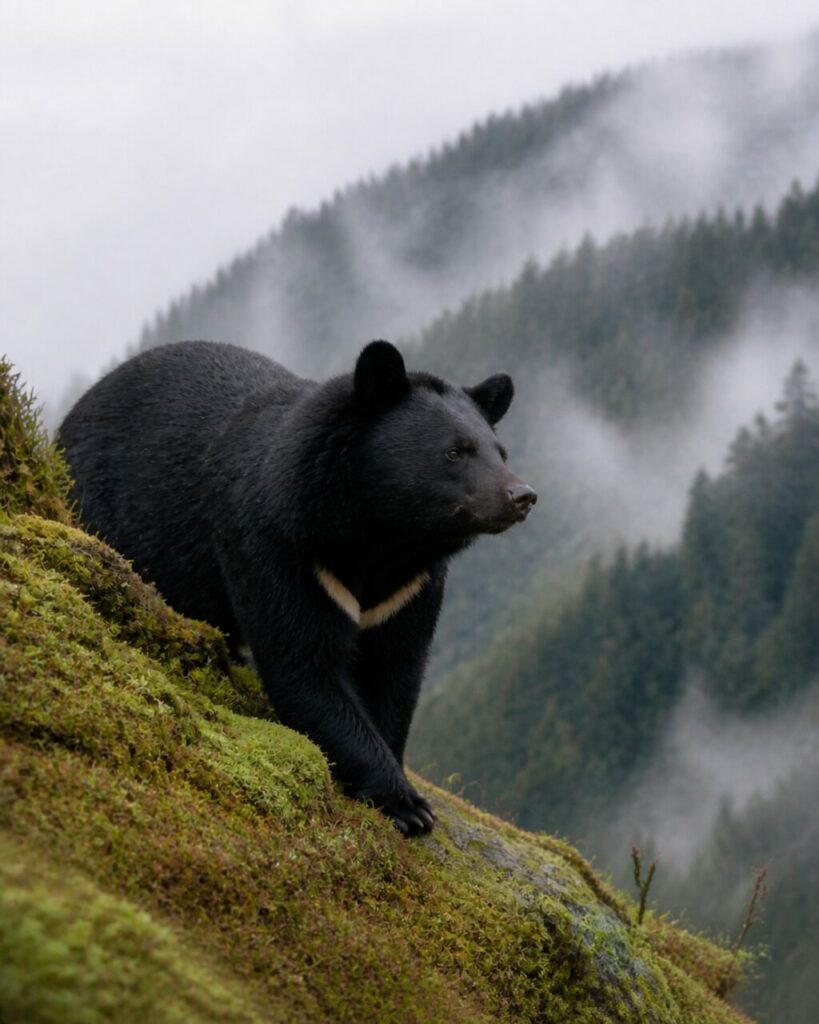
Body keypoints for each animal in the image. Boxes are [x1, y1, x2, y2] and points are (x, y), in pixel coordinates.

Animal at [58, 340, 536, 835]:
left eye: (500, 452)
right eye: (456, 452)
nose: (522, 496)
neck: (381, 538)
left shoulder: (410, 587)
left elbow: (395, 670)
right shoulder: (280, 547)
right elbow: (304, 663)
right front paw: (406, 804)